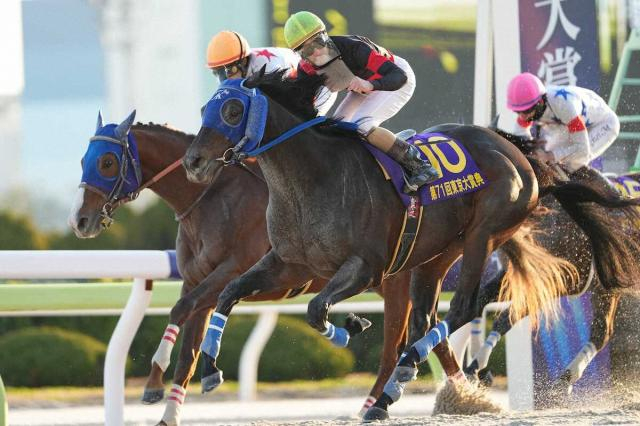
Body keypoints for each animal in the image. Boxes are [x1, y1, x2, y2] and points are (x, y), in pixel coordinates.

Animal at [67, 113, 465, 425]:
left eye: (106, 162)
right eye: (83, 159)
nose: (80, 220)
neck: (210, 198)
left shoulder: (231, 270)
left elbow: (180, 311)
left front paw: (153, 383)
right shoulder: (197, 281)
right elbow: (188, 352)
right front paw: (170, 410)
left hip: (397, 282)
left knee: (396, 347)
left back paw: (381, 404)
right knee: (433, 338)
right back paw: (463, 395)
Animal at [181, 70, 638, 421]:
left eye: (232, 109)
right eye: (205, 108)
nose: (193, 162)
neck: (311, 179)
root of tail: (519, 154)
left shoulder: (366, 267)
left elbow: (315, 310)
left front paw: (350, 329)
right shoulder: (288, 264)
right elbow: (228, 294)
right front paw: (210, 369)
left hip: (484, 235)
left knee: (463, 308)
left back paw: (398, 381)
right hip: (438, 252)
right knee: (426, 317)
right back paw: (392, 392)